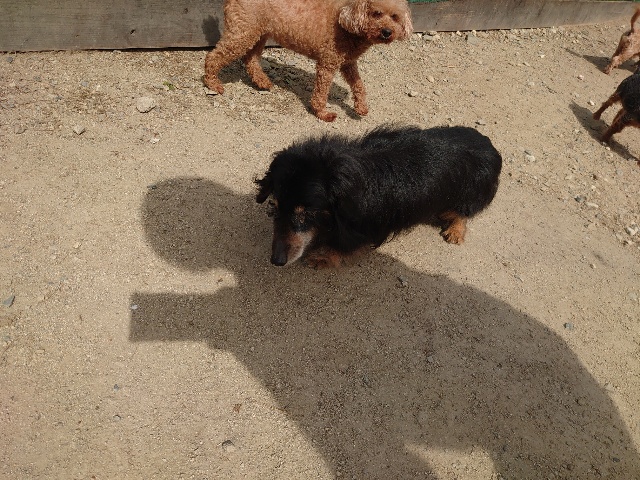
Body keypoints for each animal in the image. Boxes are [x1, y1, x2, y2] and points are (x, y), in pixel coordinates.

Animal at [203, 0, 412, 122]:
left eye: (395, 17)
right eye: (376, 13)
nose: (387, 32)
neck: (347, 21)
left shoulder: (348, 63)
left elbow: (359, 85)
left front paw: (361, 107)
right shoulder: (328, 63)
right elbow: (321, 93)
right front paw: (323, 113)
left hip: (259, 33)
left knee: (250, 59)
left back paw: (262, 82)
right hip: (243, 33)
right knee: (214, 56)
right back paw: (212, 83)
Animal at [255, 125, 502, 268]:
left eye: (306, 214)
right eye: (275, 206)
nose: (276, 261)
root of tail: (487, 143)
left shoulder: (365, 229)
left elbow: (343, 245)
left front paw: (323, 257)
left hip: (467, 195)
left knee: (463, 213)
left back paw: (455, 230)